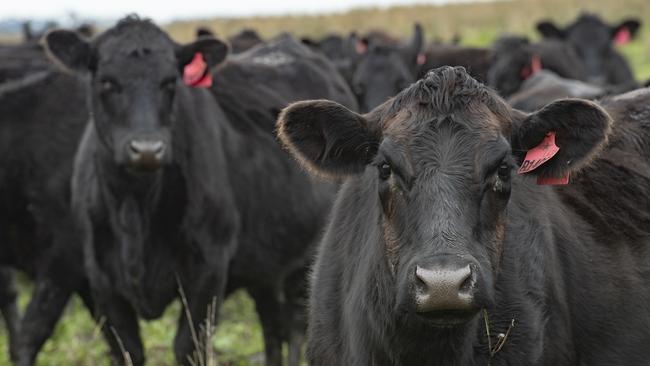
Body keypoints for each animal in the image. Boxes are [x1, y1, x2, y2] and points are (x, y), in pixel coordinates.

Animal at [42, 17, 350, 366]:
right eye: (106, 82)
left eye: (169, 82)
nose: (147, 149)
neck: (136, 209)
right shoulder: (101, 279)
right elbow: (128, 350)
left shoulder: (207, 271)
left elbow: (187, 346)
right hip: (265, 262)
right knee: (272, 325)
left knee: (298, 325)